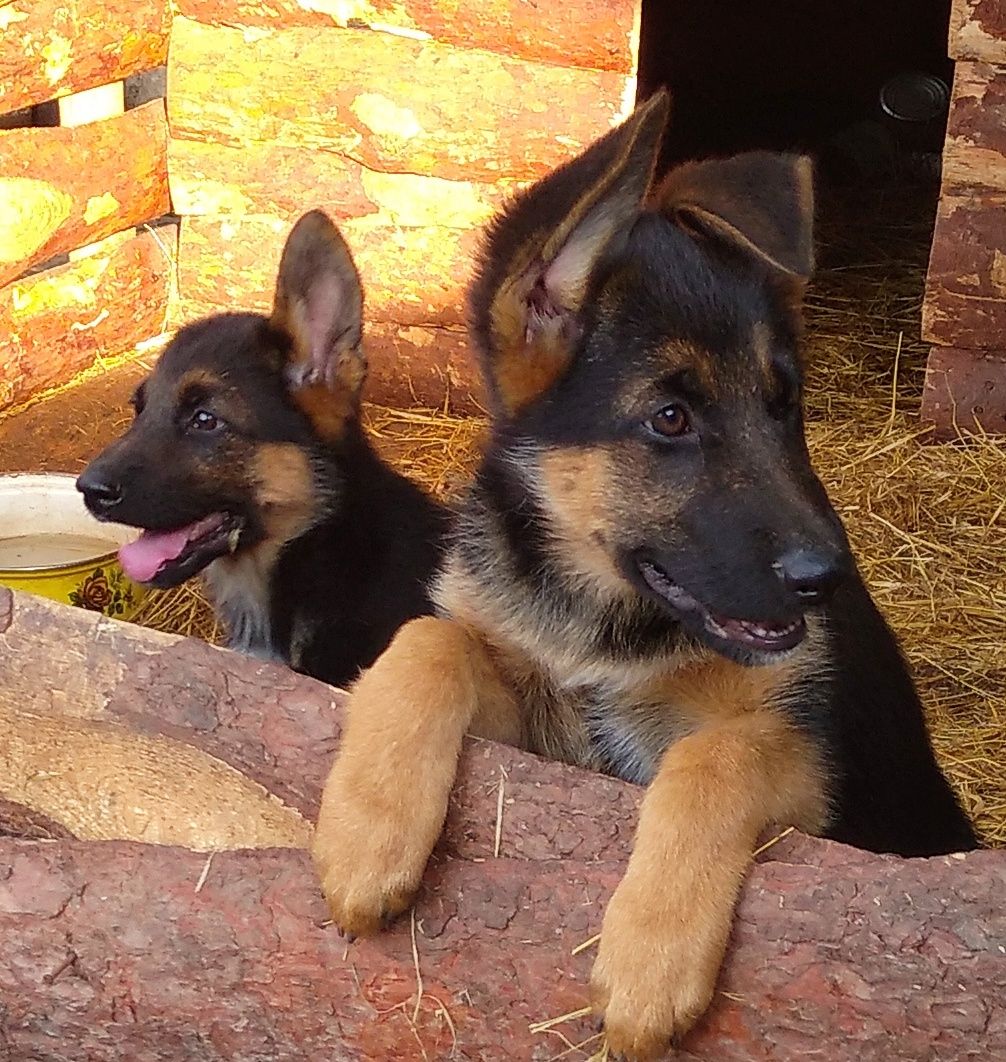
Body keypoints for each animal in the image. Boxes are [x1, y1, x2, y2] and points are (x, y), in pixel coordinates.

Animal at [312, 95, 977, 1057]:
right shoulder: (535, 724)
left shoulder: (818, 774)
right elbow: (431, 637)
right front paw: (369, 829)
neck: (611, 626)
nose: (826, 578)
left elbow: (716, 753)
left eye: (785, 404)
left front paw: (651, 956)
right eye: (670, 419)